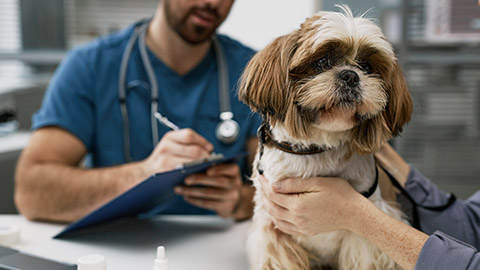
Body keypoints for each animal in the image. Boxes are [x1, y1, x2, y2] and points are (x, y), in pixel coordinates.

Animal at [238, 4, 414, 270]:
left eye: (367, 67)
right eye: (321, 61)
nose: (350, 75)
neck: (318, 147)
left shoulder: (364, 239)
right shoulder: (272, 231)